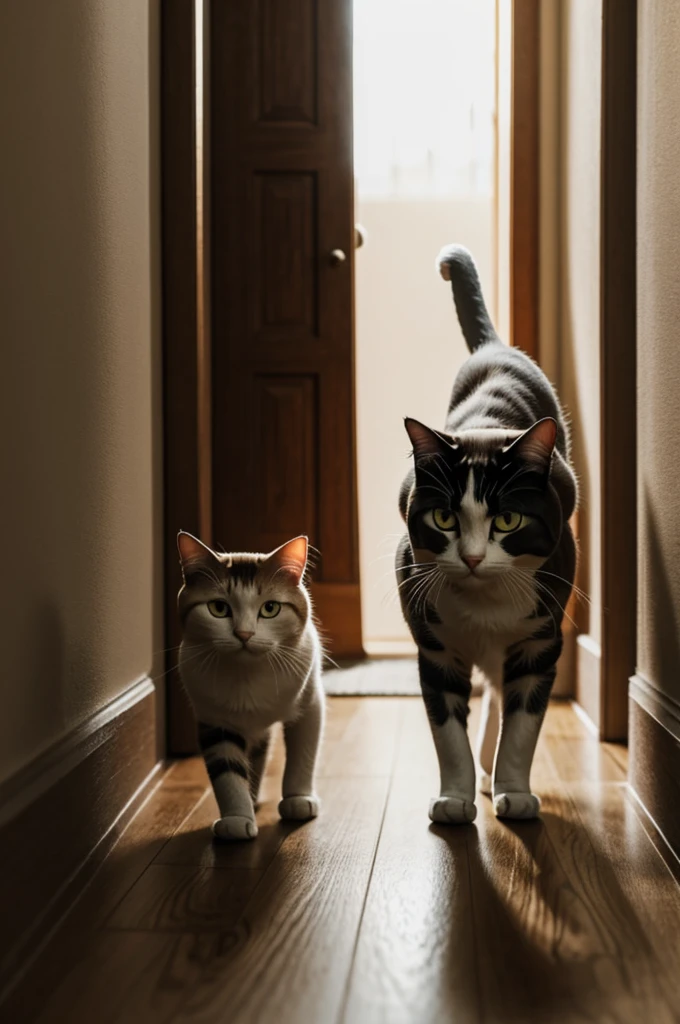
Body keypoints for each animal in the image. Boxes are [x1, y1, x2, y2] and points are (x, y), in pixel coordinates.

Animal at [175, 528, 323, 839]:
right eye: (218, 608)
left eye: (271, 608)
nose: (244, 634)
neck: (247, 674)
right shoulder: (213, 719)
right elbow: (227, 772)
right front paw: (236, 819)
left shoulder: (309, 704)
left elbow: (302, 755)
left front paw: (298, 800)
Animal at [395, 245, 577, 823]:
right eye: (444, 519)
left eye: (508, 521)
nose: (473, 558)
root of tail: (494, 347)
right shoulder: (434, 648)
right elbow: (446, 732)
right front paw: (454, 798)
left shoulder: (541, 642)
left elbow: (523, 727)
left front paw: (513, 792)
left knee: (499, 691)